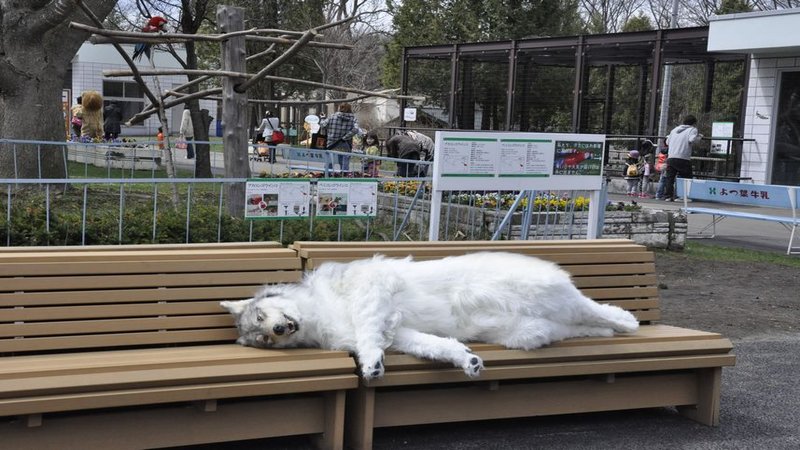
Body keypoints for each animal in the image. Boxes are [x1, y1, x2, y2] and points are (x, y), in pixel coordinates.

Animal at [220, 252, 639, 380]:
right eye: (263, 337)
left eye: (263, 318)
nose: (279, 329)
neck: (321, 310)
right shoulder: (401, 333)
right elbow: (439, 347)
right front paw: (467, 361)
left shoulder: (372, 292)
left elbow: (368, 334)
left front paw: (370, 366)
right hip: (532, 332)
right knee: (581, 325)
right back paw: (608, 332)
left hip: (539, 295)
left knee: (597, 309)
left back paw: (628, 322)